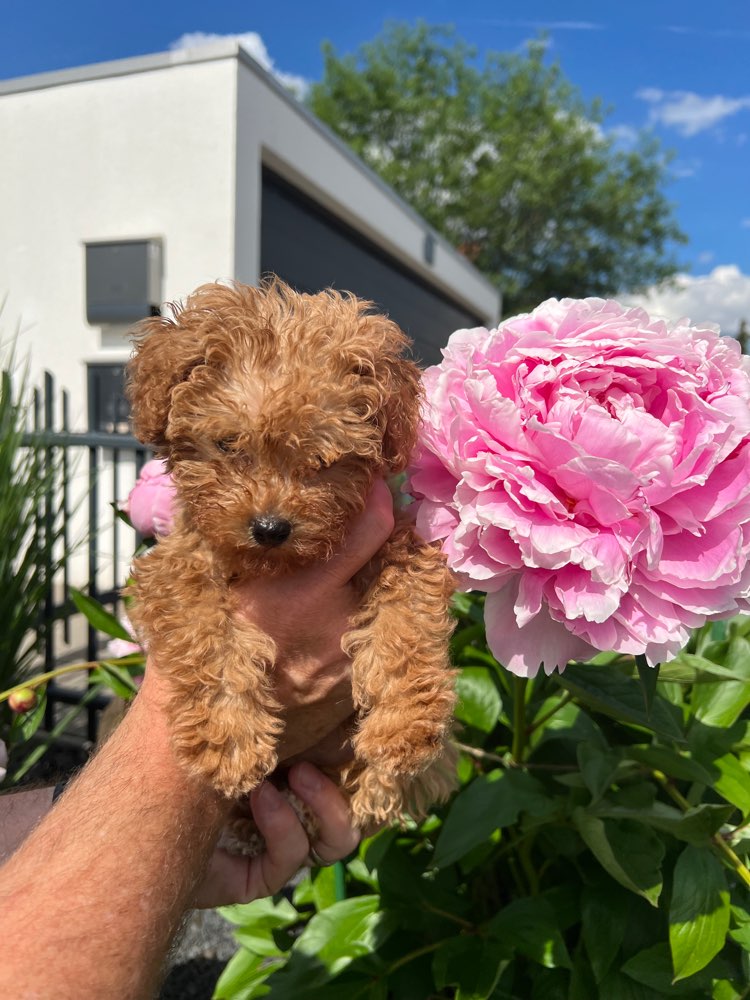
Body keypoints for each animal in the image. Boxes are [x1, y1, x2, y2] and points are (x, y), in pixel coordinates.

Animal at [128, 280, 458, 828]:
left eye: (324, 461)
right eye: (227, 444)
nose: (270, 527)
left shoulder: (399, 543)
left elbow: (407, 619)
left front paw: (402, 726)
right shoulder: (179, 562)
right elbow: (205, 634)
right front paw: (230, 740)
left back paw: (373, 788)